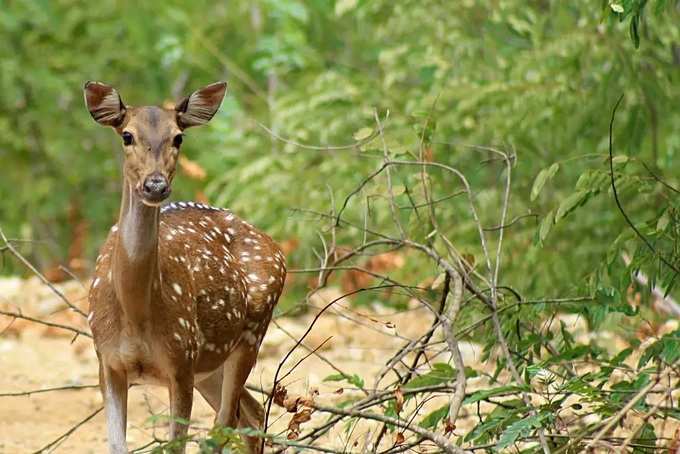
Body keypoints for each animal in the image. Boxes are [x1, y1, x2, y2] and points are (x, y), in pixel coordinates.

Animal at [83, 81, 286, 454]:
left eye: (178, 137)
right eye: (127, 135)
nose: (155, 185)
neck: (136, 315)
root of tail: (275, 246)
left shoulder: (180, 360)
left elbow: (177, 443)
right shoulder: (107, 361)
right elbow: (116, 446)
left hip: (250, 333)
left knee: (226, 422)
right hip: (209, 363)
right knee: (250, 414)